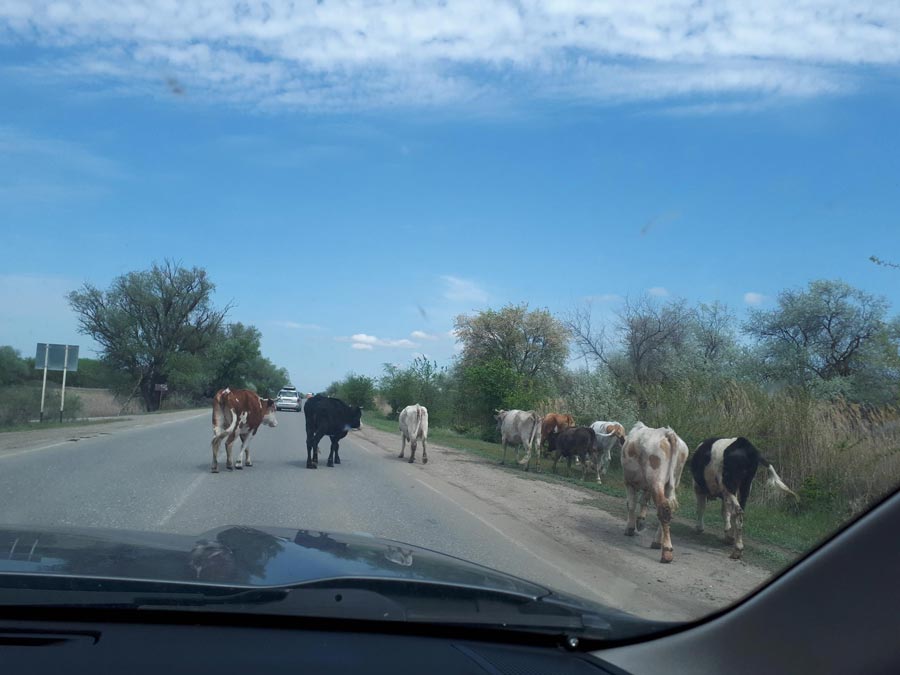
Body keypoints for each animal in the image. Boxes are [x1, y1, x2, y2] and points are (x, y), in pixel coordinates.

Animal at [624, 422, 688, 564]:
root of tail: (668, 432)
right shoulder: (647, 486)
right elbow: (644, 500)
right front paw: (640, 521)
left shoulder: (629, 482)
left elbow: (631, 504)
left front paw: (630, 528)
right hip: (671, 482)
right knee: (667, 509)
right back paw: (658, 542)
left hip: (656, 479)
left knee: (663, 508)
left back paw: (667, 551)